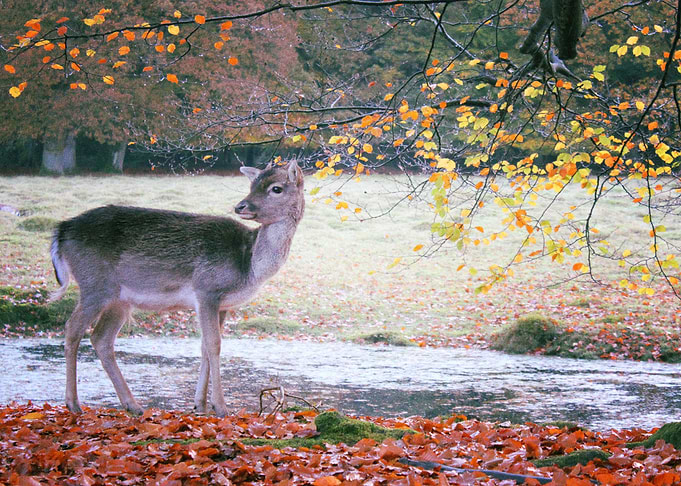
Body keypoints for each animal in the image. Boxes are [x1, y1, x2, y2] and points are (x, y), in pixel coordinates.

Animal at [49, 161, 304, 416]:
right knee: (72, 328)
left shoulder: (223, 305)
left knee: (101, 338)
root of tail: (61, 230)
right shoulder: (206, 289)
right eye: (252, 185)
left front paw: (200, 405)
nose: (240, 206)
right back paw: (73, 403)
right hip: (94, 284)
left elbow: (204, 346)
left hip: (119, 300)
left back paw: (133, 405)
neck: (248, 265)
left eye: (276, 188)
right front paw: (220, 407)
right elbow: (214, 345)